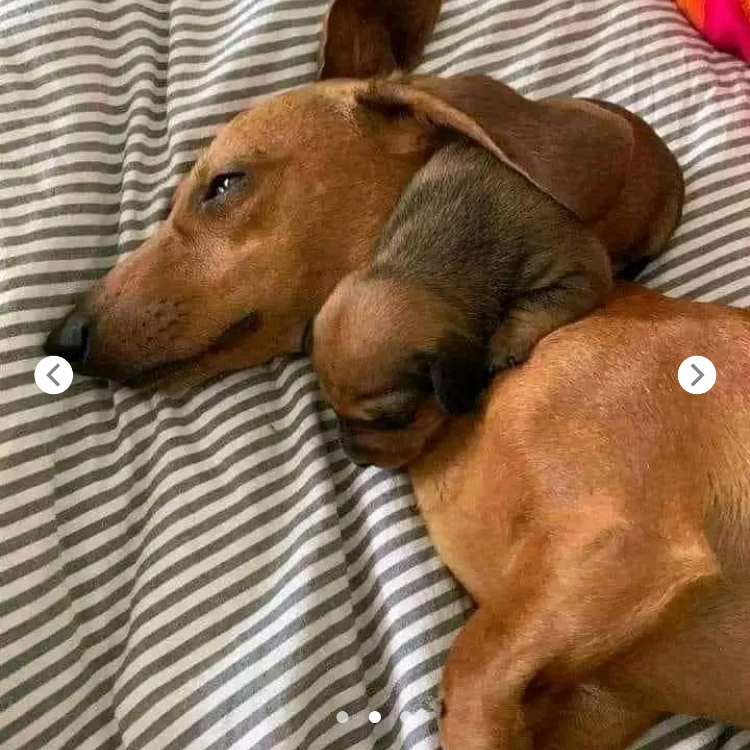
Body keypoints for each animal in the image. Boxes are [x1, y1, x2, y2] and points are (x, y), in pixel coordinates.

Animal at [310, 139, 612, 468]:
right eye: (332, 407)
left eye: (394, 419)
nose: (356, 460)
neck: (418, 268)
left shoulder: (583, 272)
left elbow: (536, 302)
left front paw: (506, 341)